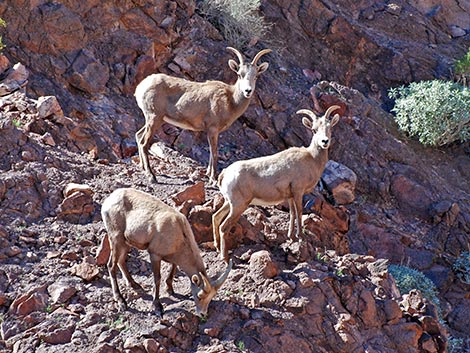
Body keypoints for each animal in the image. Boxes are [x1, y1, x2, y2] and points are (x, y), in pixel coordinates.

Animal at [100, 187, 232, 316]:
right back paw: (121, 302)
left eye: (211, 297)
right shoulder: (154, 255)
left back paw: (135, 285)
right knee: (111, 265)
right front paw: (157, 307)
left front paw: (170, 290)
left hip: (126, 242)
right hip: (116, 238)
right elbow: (157, 278)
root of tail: (108, 201)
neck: (179, 232)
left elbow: (173, 269)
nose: (203, 314)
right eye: (199, 296)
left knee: (121, 261)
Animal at [134, 47, 270, 183]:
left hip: (154, 120)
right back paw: (151, 176)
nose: (248, 91)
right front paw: (213, 179)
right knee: (144, 143)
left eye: (256, 76)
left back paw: (142, 167)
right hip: (154, 118)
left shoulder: (211, 131)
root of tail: (141, 87)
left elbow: (211, 151)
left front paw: (208, 175)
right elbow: (214, 152)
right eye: (239, 74)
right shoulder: (213, 129)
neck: (231, 101)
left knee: (138, 135)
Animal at [213, 104, 342, 262]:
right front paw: (301, 237)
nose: (325, 142)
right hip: (238, 205)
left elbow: (292, 213)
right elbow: (299, 212)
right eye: (314, 129)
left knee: (216, 217)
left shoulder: (290, 196)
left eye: (330, 128)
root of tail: (225, 174)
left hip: (229, 203)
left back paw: (217, 247)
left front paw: (291, 237)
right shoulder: (298, 192)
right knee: (224, 226)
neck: (312, 159)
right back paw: (224, 258)